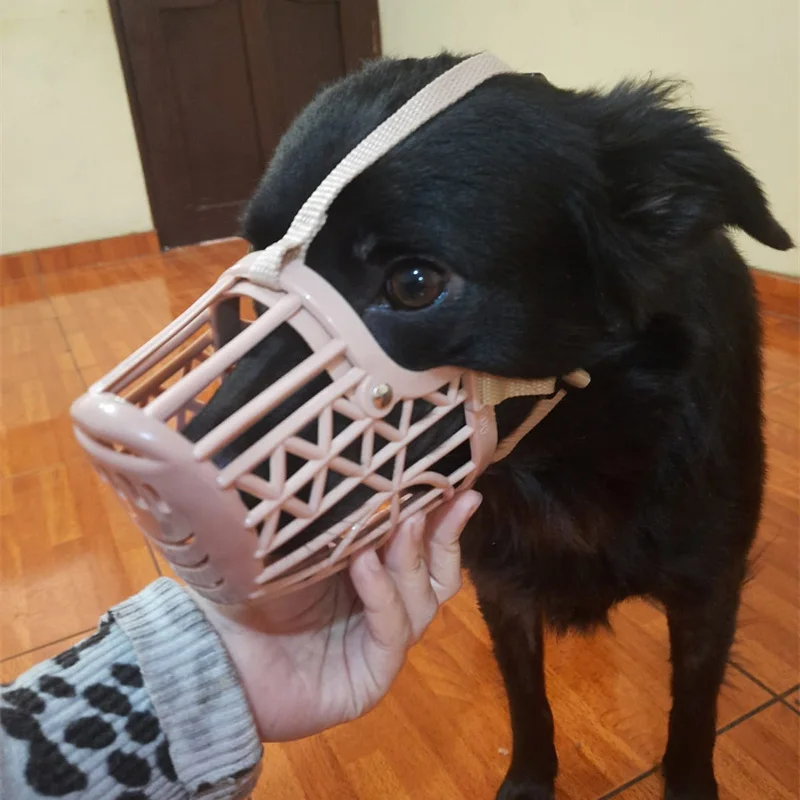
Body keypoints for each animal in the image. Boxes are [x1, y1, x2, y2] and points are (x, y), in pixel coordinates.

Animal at [186, 53, 792, 796]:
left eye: (414, 283)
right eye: (255, 258)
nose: (153, 486)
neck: (572, 458)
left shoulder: (708, 590)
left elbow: (693, 716)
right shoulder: (504, 588)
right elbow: (526, 698)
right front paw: (530, 780)